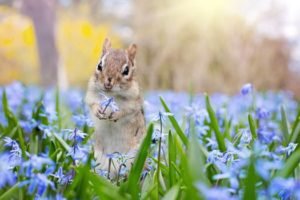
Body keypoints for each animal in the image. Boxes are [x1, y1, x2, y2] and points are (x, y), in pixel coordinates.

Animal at [85, 38, 146, 177]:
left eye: (126, 70)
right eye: (99, 65)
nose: (108, 83)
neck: (110, 94)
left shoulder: (133, 103)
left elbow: (125, 111)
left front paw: (115, 114)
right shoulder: (91, 95)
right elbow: (92, 103)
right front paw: (98, 111)